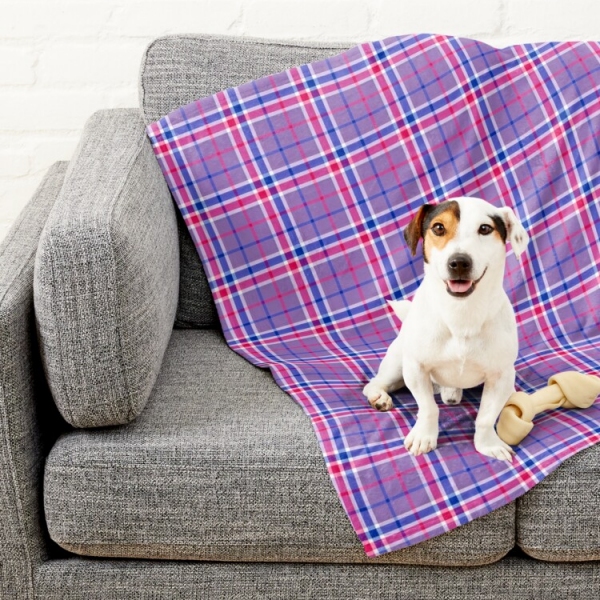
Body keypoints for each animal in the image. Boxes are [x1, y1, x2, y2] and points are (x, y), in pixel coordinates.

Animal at [364, 199, 528, 462]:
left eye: (485, 228)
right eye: (438, 228)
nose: (459, 262)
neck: (461, 315)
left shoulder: (501, 376)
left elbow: (486, 417)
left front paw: (488, 444)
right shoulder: (416, 368)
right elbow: (428, 408)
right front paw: (424, 437)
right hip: (397, 365)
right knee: (374, 382)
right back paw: (379, 397)